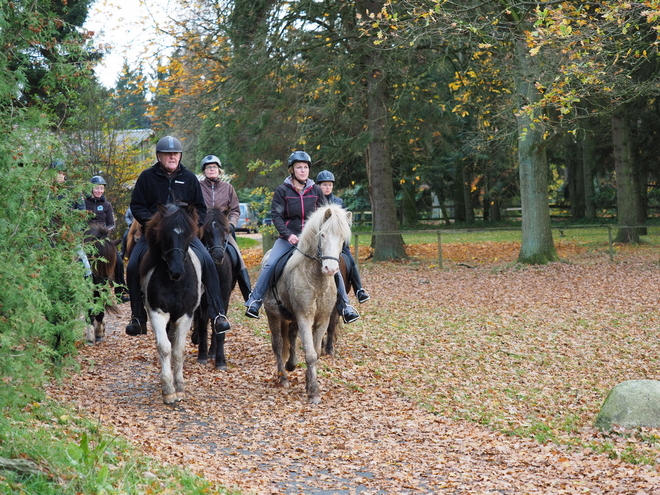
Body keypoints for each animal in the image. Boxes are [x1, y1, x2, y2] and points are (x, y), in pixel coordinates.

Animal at [139, 203, 201, 404]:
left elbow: (178, 350)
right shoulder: (157, 313)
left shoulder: (185, 315)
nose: (176, 271)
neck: (175, 283)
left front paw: (179, 388)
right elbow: (165, 348)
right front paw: (167, 389)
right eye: (165, 234)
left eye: (188, 234)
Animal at [192, 206, 236, 372]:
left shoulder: (224, 298)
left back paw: (213, 352)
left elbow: (219, 328)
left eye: (226, 230)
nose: (218, 255)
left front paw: (220, 360)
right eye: (206, 231)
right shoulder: (202, 302)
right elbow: (202, 325)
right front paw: (202, 356)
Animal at [264, 203, 354, 404]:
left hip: (291, 318)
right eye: (323, 235)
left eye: (342, 238)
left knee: (290, 336)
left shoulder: (322, 319)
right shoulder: (305, 317)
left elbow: (316, 352)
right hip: (272, 315)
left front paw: (308, 383)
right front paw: (314, 392)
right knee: (278, 344)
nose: (331, 269)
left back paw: (291, 365)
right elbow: (311, 354)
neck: (316, 280)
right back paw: (282, 377)